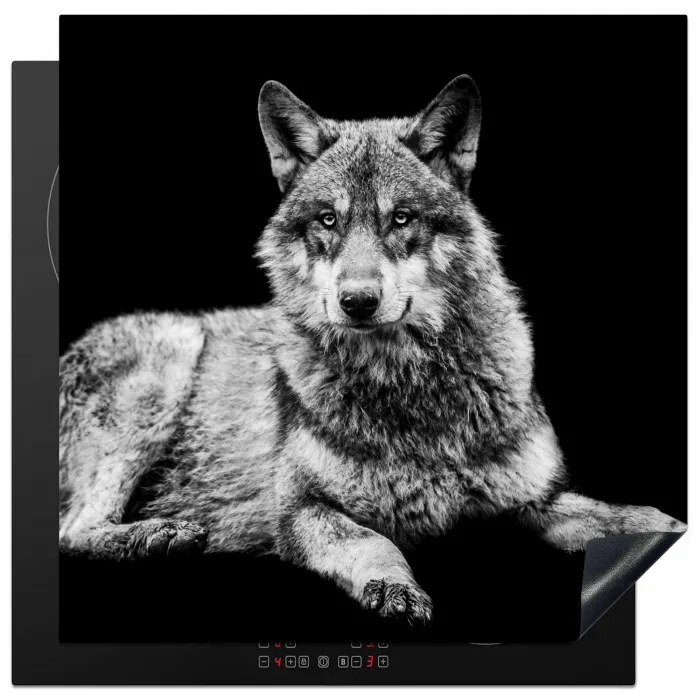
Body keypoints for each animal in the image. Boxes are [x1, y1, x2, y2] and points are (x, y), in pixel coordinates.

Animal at [59, 75, 685, 624]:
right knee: (73, 531)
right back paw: (159, 535)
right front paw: (395, 588)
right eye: (328, 220)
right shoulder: (301, 511)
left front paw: (660, 525)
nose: (357, 301)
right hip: (166, 369)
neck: (410, 389)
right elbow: (373, 541)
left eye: (401, 219)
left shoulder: (535, 499)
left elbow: (618, 518)